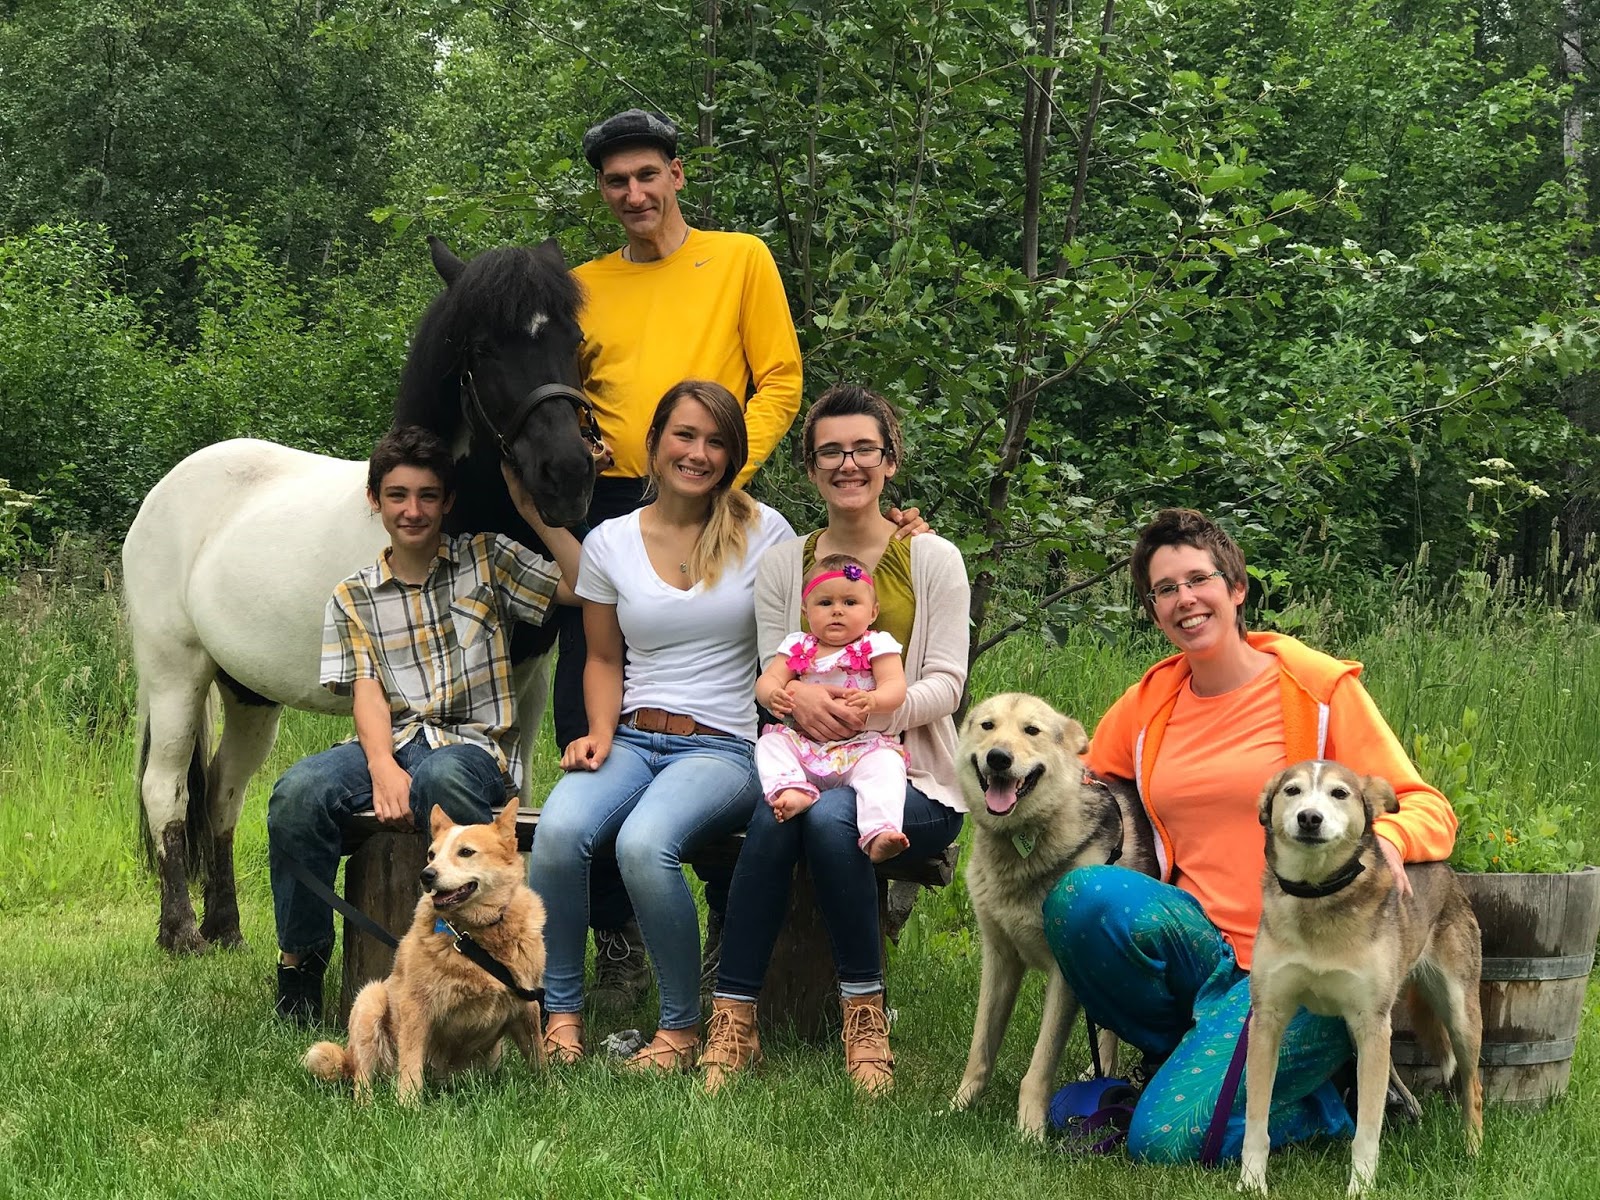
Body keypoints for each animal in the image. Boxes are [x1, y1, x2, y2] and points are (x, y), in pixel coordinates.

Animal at [123, 240, 601, 953]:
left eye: (573, 338)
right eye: (484, 347)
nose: (567, 475)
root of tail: (166, 488)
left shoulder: (527, 682)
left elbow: (509, 801)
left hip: (247, 692)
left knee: (224, 792)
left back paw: (227, 929)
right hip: (174, 672)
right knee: (167, 791)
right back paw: (180, 933)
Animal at [302, 803, 547, 1107]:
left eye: (466, 852)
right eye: (432, 854)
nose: (426, 875)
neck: (473, 938)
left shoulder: (527, 1003)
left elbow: (538, 1055)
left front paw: (551, 1091)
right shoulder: (415, 1007)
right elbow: (410, 1063)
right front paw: (407, 1106)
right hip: (369, 1003)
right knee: (362, 1076)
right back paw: (366, 1105)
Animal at [940, 694, 1158, 1139]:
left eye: (1032, 731)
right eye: (987, 726)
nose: (999, 758)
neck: (1023, 840)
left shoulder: (1063, 977)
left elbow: (1040, 1065)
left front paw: (1030, 1131)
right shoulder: (1000, 960)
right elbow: (980, 1050)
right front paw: (958, 1107)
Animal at [1235, 764, 1484, 1196]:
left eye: (1340, 793)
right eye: (1292, 790)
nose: (1309, 818)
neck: (1317, 895)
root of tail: (1446, 869)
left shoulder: (1373, 1028)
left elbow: (1367, 1130)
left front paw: (1361, 1188)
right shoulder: (1267, 1021)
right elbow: (1256, 1121)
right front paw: (1251, 1182)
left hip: (1461, 1017)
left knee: (1473, 1086)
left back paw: (1472, 1149)